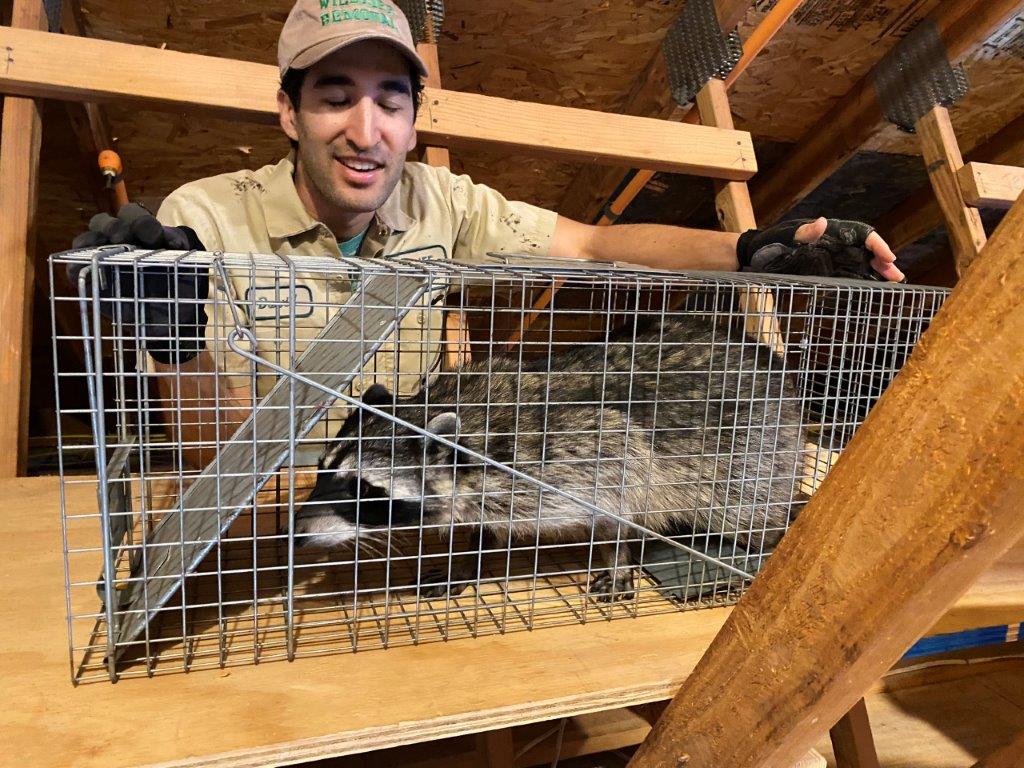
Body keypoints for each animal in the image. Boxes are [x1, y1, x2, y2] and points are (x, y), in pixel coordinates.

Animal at [294, 315, 810, 599]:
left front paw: (617, 558)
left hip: (754, 453)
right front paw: (468, 560)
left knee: (748, 514)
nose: (294, 533)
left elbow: (623, 488)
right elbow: (483, 530)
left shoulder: (582, 450)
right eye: (322, 472)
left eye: (363, 489)